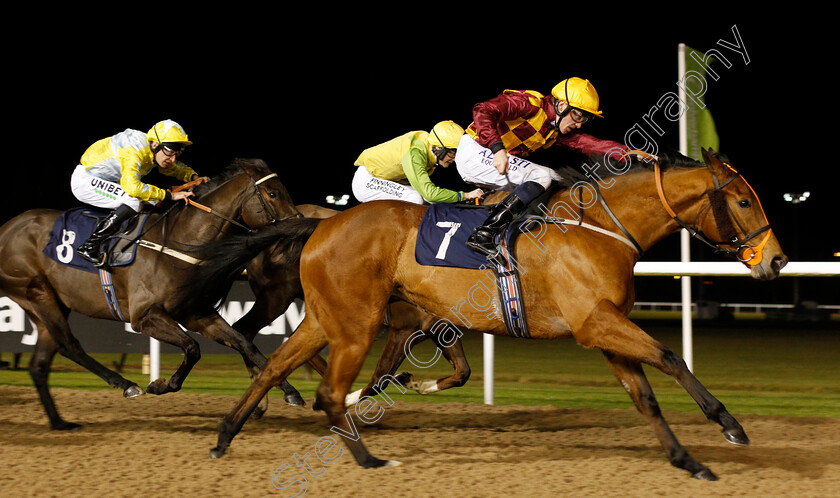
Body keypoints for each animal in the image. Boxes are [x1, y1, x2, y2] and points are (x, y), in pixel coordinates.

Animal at [0, 159, 306, 428]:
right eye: (273, 193)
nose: (298, 224)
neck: (179, 243)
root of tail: (7, 228)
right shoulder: (145, 317)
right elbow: (192, 348)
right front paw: (161, 384)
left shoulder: (196, 313)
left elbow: (245, 343)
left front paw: (291, 392)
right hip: (37, 292)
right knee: (69, 345)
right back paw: (126, 385)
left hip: (50, 303)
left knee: (40, 364)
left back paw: (59, 422)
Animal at [203, 148, 788, 478]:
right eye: (742, 202)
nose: (777, 260)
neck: (599, 226)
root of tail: (320, 223)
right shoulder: (596, 323)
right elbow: (669, 356)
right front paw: (729, 424)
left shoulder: (603, 327)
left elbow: (644, 397)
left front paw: (689, 461)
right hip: (356, 323)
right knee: (328, 391)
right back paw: (367, 458)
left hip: (325, 317)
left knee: (276, 365)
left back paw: (226, 435)